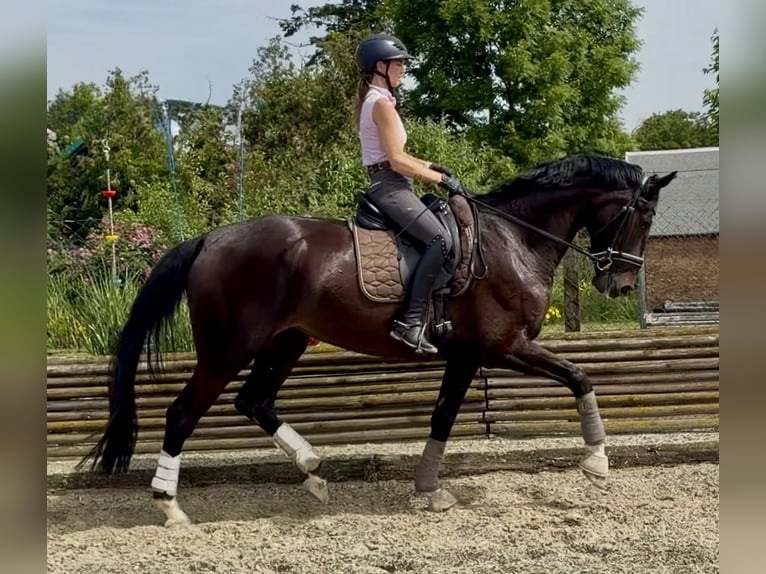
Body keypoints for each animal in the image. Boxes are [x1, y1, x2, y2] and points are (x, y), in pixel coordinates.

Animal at [78, 153, 677, 526]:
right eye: (645, 216)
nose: (621, 285)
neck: (515, 238)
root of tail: (209, 239)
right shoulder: (504, 347)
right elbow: (580, 376)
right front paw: (597, 460)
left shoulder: (466, 356)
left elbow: (443, 416)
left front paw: (429, 489)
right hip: (229, 349)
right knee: (184, 412)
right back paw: (170, 506)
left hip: (286, 341)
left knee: (254, 401)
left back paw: (313, 474)